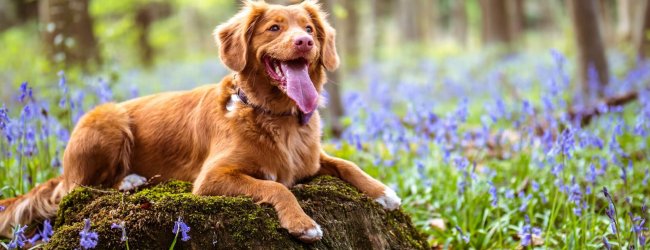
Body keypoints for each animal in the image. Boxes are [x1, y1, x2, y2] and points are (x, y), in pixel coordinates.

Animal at [0, 0, 398, 242]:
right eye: (274, 28)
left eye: (310, 29)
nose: (304, 42)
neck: (275, 116)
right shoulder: (212, 178)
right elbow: (276, 187)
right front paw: (303, 223)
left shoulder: (311, 160)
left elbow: (346, 164)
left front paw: (384, 192)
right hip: (107, 118)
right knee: (78, 188)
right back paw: (129, 180)